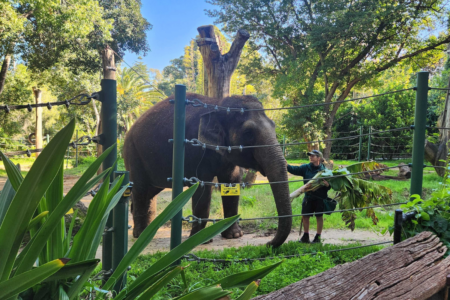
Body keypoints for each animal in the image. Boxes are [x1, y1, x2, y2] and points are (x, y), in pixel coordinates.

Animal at [123, 93, 292, 246]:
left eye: (274, 126)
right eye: (248, 132)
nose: (268, 243)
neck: (218, 105)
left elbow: (232, 183)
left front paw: (234, 236)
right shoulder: (196, 150)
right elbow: (202, 187)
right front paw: (200, 240)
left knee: (150, 192)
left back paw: (150, 231)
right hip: (133, 154)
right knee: (140, 189)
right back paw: (141, 235)